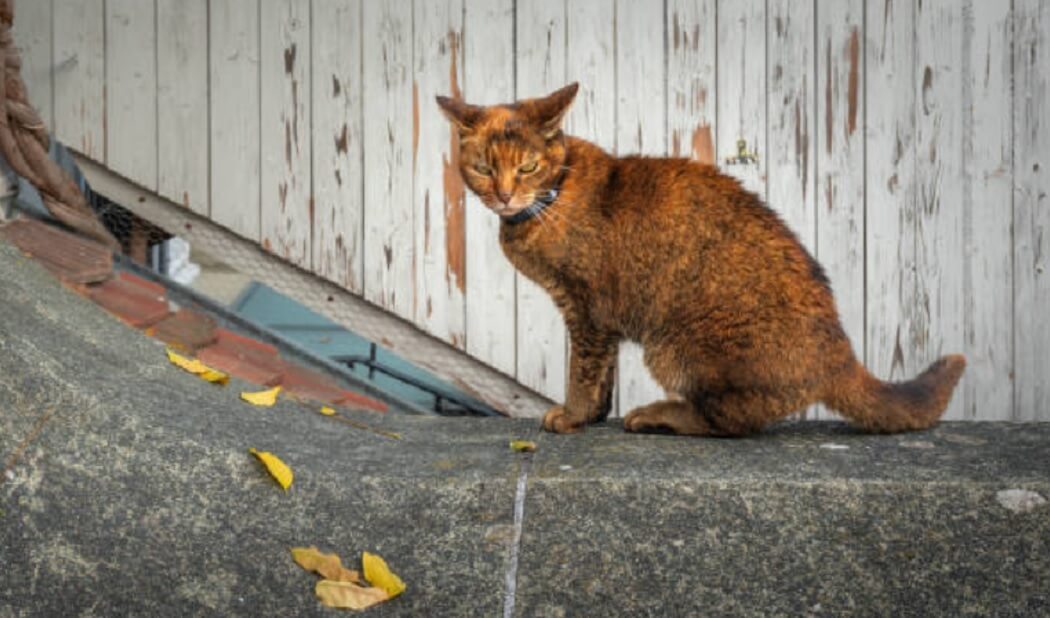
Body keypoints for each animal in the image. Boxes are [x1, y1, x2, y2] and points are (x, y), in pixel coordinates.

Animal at [436, 84, 965, 436]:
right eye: (483, 168)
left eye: (527, 166)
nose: (505, 195)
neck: (554, 196)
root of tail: (841, 353)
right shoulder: (598, 319)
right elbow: (604, 375)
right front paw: (594, 415)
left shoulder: (588, 310)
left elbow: (582, 371)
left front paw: (571, 416)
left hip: (671, 346)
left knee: (731, 421)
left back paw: (657, 415)